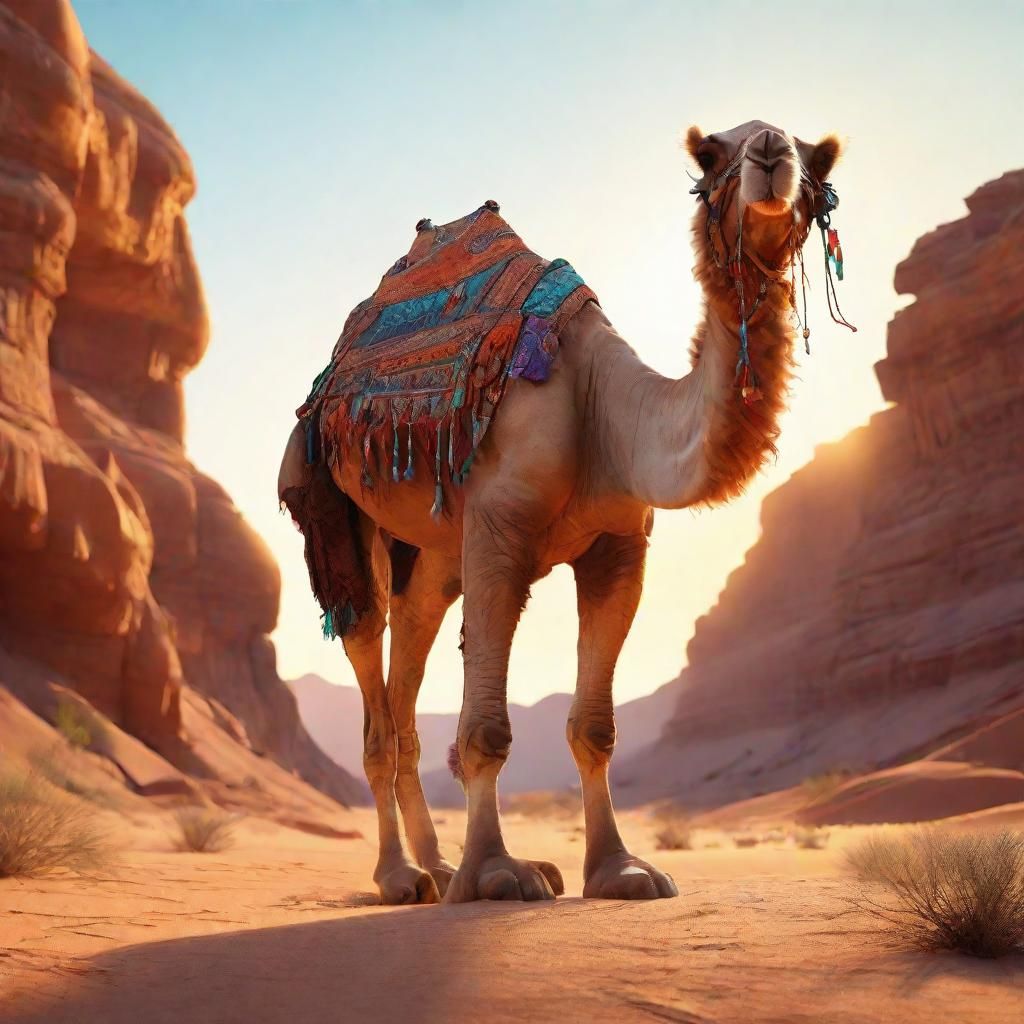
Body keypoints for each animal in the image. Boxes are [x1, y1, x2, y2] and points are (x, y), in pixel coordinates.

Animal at [279, 120, 846, 905]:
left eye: (814, 159)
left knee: (407, 679)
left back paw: (440, 869)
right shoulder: (498, 534)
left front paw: (619, 870)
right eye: (710, 155)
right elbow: (485, 729)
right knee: (372, 684)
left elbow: (594, 728)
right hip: (331, 508)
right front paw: (496, 873)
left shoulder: (618, 546)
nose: (768, 151)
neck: (602, 409)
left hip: (431, 559)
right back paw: (403, 877)